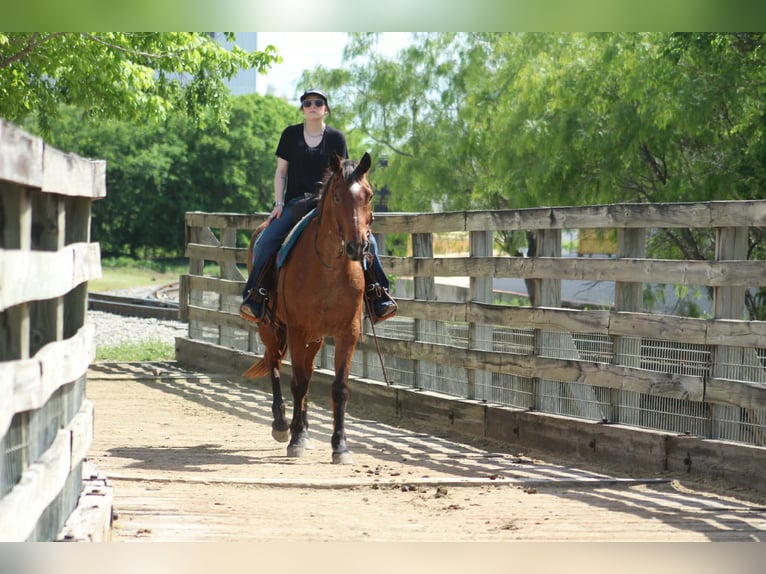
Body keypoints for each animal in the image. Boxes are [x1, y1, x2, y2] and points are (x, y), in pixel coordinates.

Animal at [241, 152, 375, 464]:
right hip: (270, 327)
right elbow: (298, 383)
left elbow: (339, 388)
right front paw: (296, 439)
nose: (357, 247)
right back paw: (282, 425)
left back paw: (302, 427)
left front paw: (340, 446)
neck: (329, 268)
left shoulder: (347, 333)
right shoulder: (297, 329)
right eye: (336, 196)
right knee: (276, 365)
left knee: (307, 372)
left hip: (314, 338)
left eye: (369, 195)